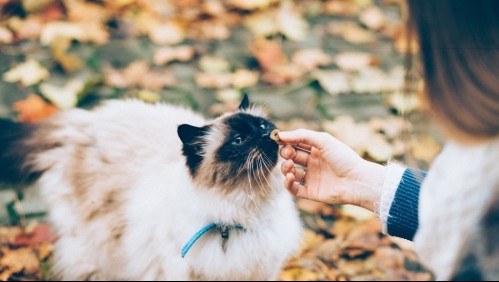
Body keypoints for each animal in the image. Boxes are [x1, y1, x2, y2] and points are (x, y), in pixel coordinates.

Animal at [0, 96, 300, 280]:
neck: (244, 213)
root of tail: (81, 122)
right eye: (239, 140)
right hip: (96, 246)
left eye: (262, 125)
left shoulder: (263, 272)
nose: (266, 134)